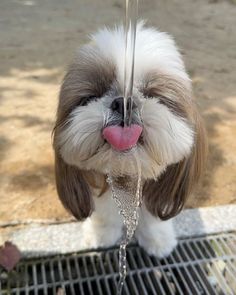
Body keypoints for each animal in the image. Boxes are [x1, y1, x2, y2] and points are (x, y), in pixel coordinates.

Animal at [53, 23, 206, 260]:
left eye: (155, 94)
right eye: (90, 97)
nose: (123, 102)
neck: (126, 176)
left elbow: (153, 216)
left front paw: (157, 239)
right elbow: (103, 212)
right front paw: (101, 234)